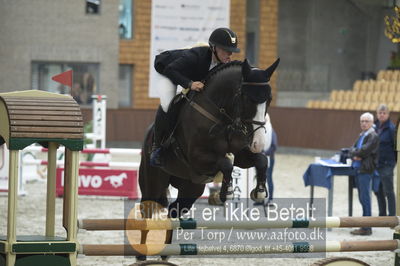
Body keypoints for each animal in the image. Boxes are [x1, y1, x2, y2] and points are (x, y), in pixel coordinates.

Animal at [139, 58, 280, 256]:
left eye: (269, 99)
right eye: (247, 98)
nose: (258, 144)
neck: (220, 114)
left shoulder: (241, 154)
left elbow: (260, 160)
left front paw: (259, 191)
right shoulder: (197, 158)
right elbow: (226, 164)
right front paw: (225, 193)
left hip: (191, 189)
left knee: (173, 211)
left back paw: (165, 253)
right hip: (153, 181)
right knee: (147, 212)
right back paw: (141, 254)